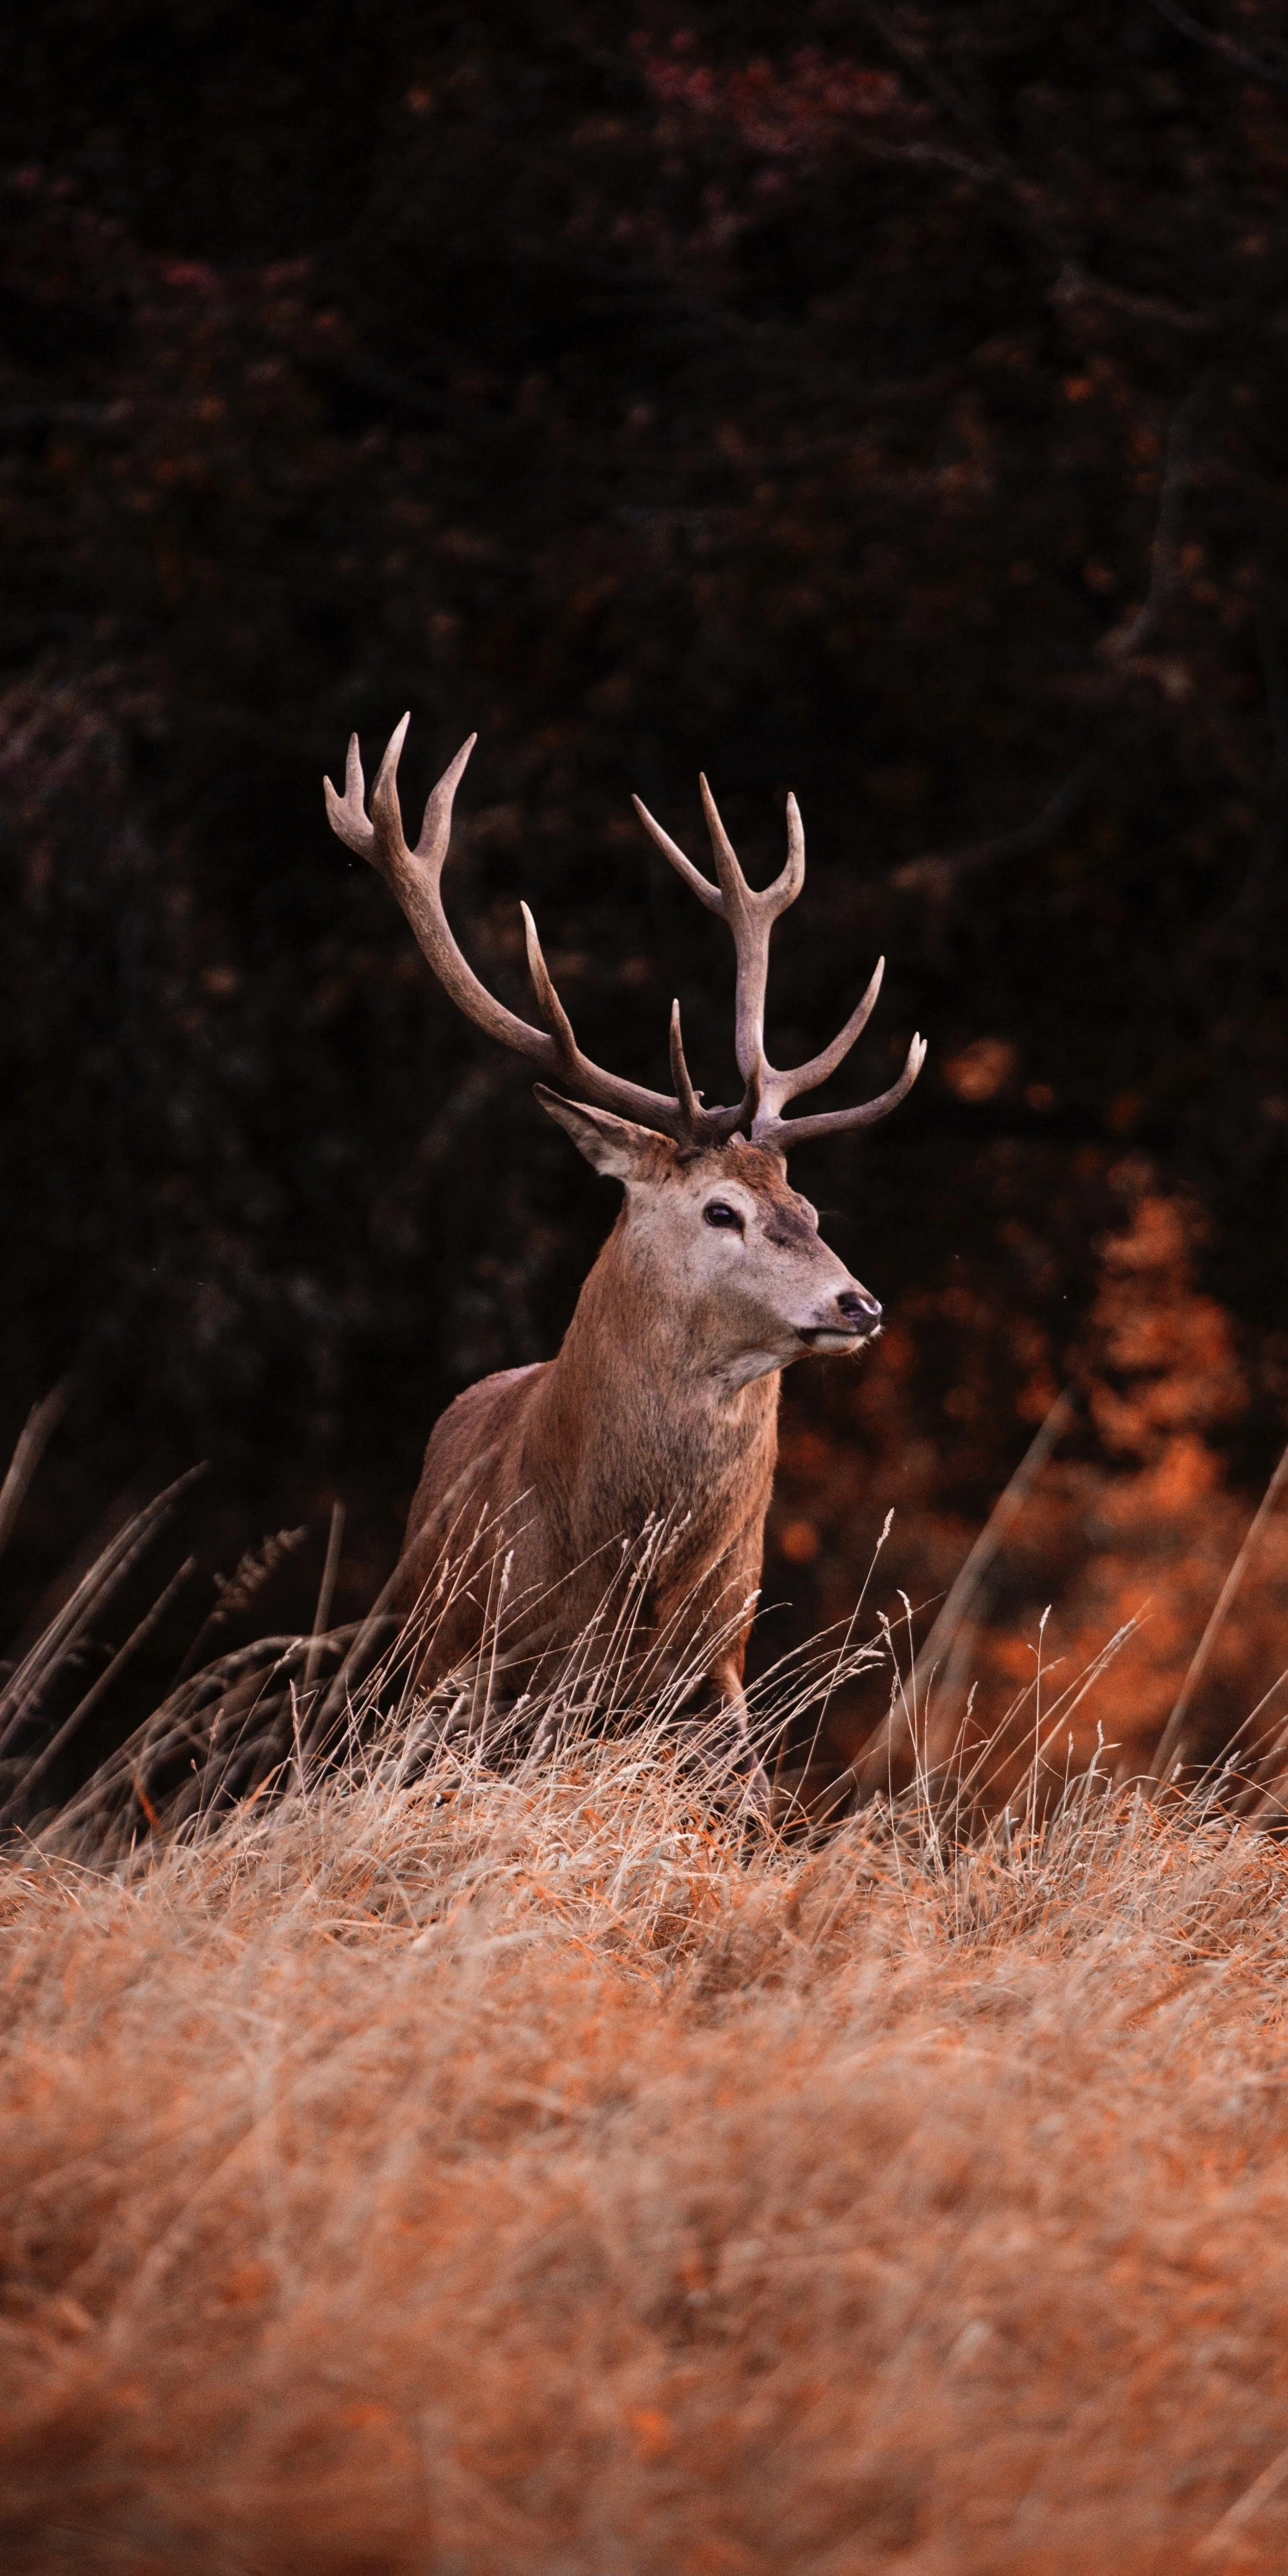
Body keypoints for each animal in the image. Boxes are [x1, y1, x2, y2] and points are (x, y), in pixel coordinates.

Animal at [324, 719, 925, 1808]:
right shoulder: (483, 1662)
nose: (857, 1303)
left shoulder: (717, 1666)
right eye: (722, 1209)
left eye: (809, 1207)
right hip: (418, 1646)